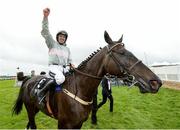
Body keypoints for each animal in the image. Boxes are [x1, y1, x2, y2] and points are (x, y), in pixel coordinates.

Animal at [11, 30, 162, 129]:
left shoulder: (78, 124)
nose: (156, 82)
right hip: (30, 109)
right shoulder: (63, 124)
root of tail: (29, 79)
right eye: (122, 53)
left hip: (36, 109)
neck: (79, 90)